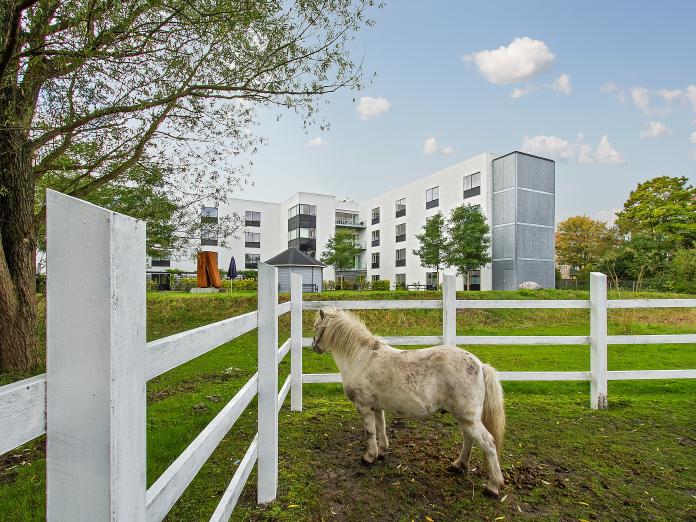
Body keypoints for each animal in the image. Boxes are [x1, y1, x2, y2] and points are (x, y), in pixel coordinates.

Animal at [314, 308, 506, 496]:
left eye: (316, 327)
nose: (314, 346)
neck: (361, 357)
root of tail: (480, 366)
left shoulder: (364, 407)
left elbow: (370, 432)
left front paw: (369, 457)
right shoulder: (377, 407)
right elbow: (381, 428)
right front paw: (382, 452)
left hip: (468, 418)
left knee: (488, 443)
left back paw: (493, 486)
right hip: (464, 417)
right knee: (468, 438)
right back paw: (459, 465)